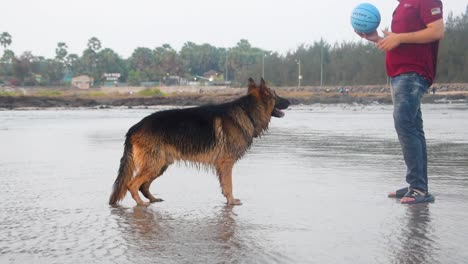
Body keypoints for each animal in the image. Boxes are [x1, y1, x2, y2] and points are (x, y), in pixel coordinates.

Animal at [109, 78, 288, 206]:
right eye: (276, 95)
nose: (290, 102)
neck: (248, 112)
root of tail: (135, 126)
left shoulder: (223, 166)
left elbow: (224, 185)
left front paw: (227, 200)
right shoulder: (226, 163)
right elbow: (229, 184)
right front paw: (231, 201)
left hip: (160, 165)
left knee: (143, 186)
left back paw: (152, 200)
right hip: (154, 164)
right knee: (132, 184)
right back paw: (141, 203)